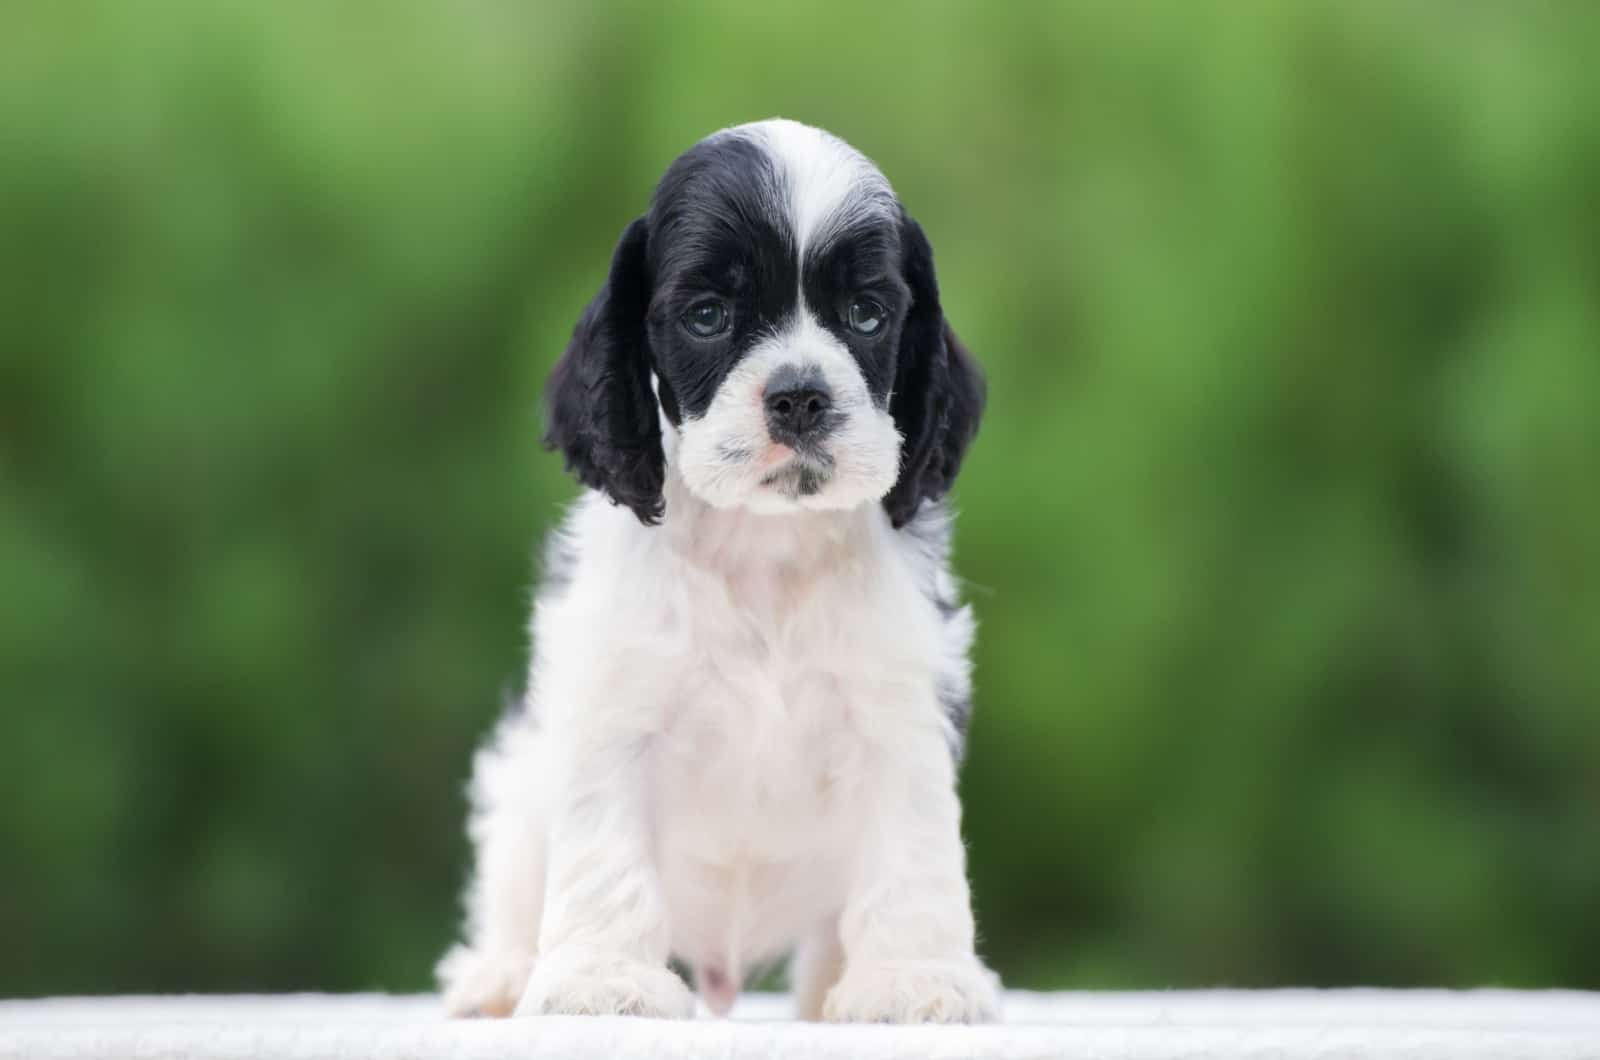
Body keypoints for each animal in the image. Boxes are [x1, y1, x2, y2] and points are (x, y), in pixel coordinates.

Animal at [438, 120, 998, 1024]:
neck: (764, 548)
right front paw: (603, 981)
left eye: (867, 313)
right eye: (708, 315)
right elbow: (605, 854)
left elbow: (911, 856)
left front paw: (914, 980)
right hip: (519, 783)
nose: (800, 396)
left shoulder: (898, 713)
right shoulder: (612, 709)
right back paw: (501, 975)